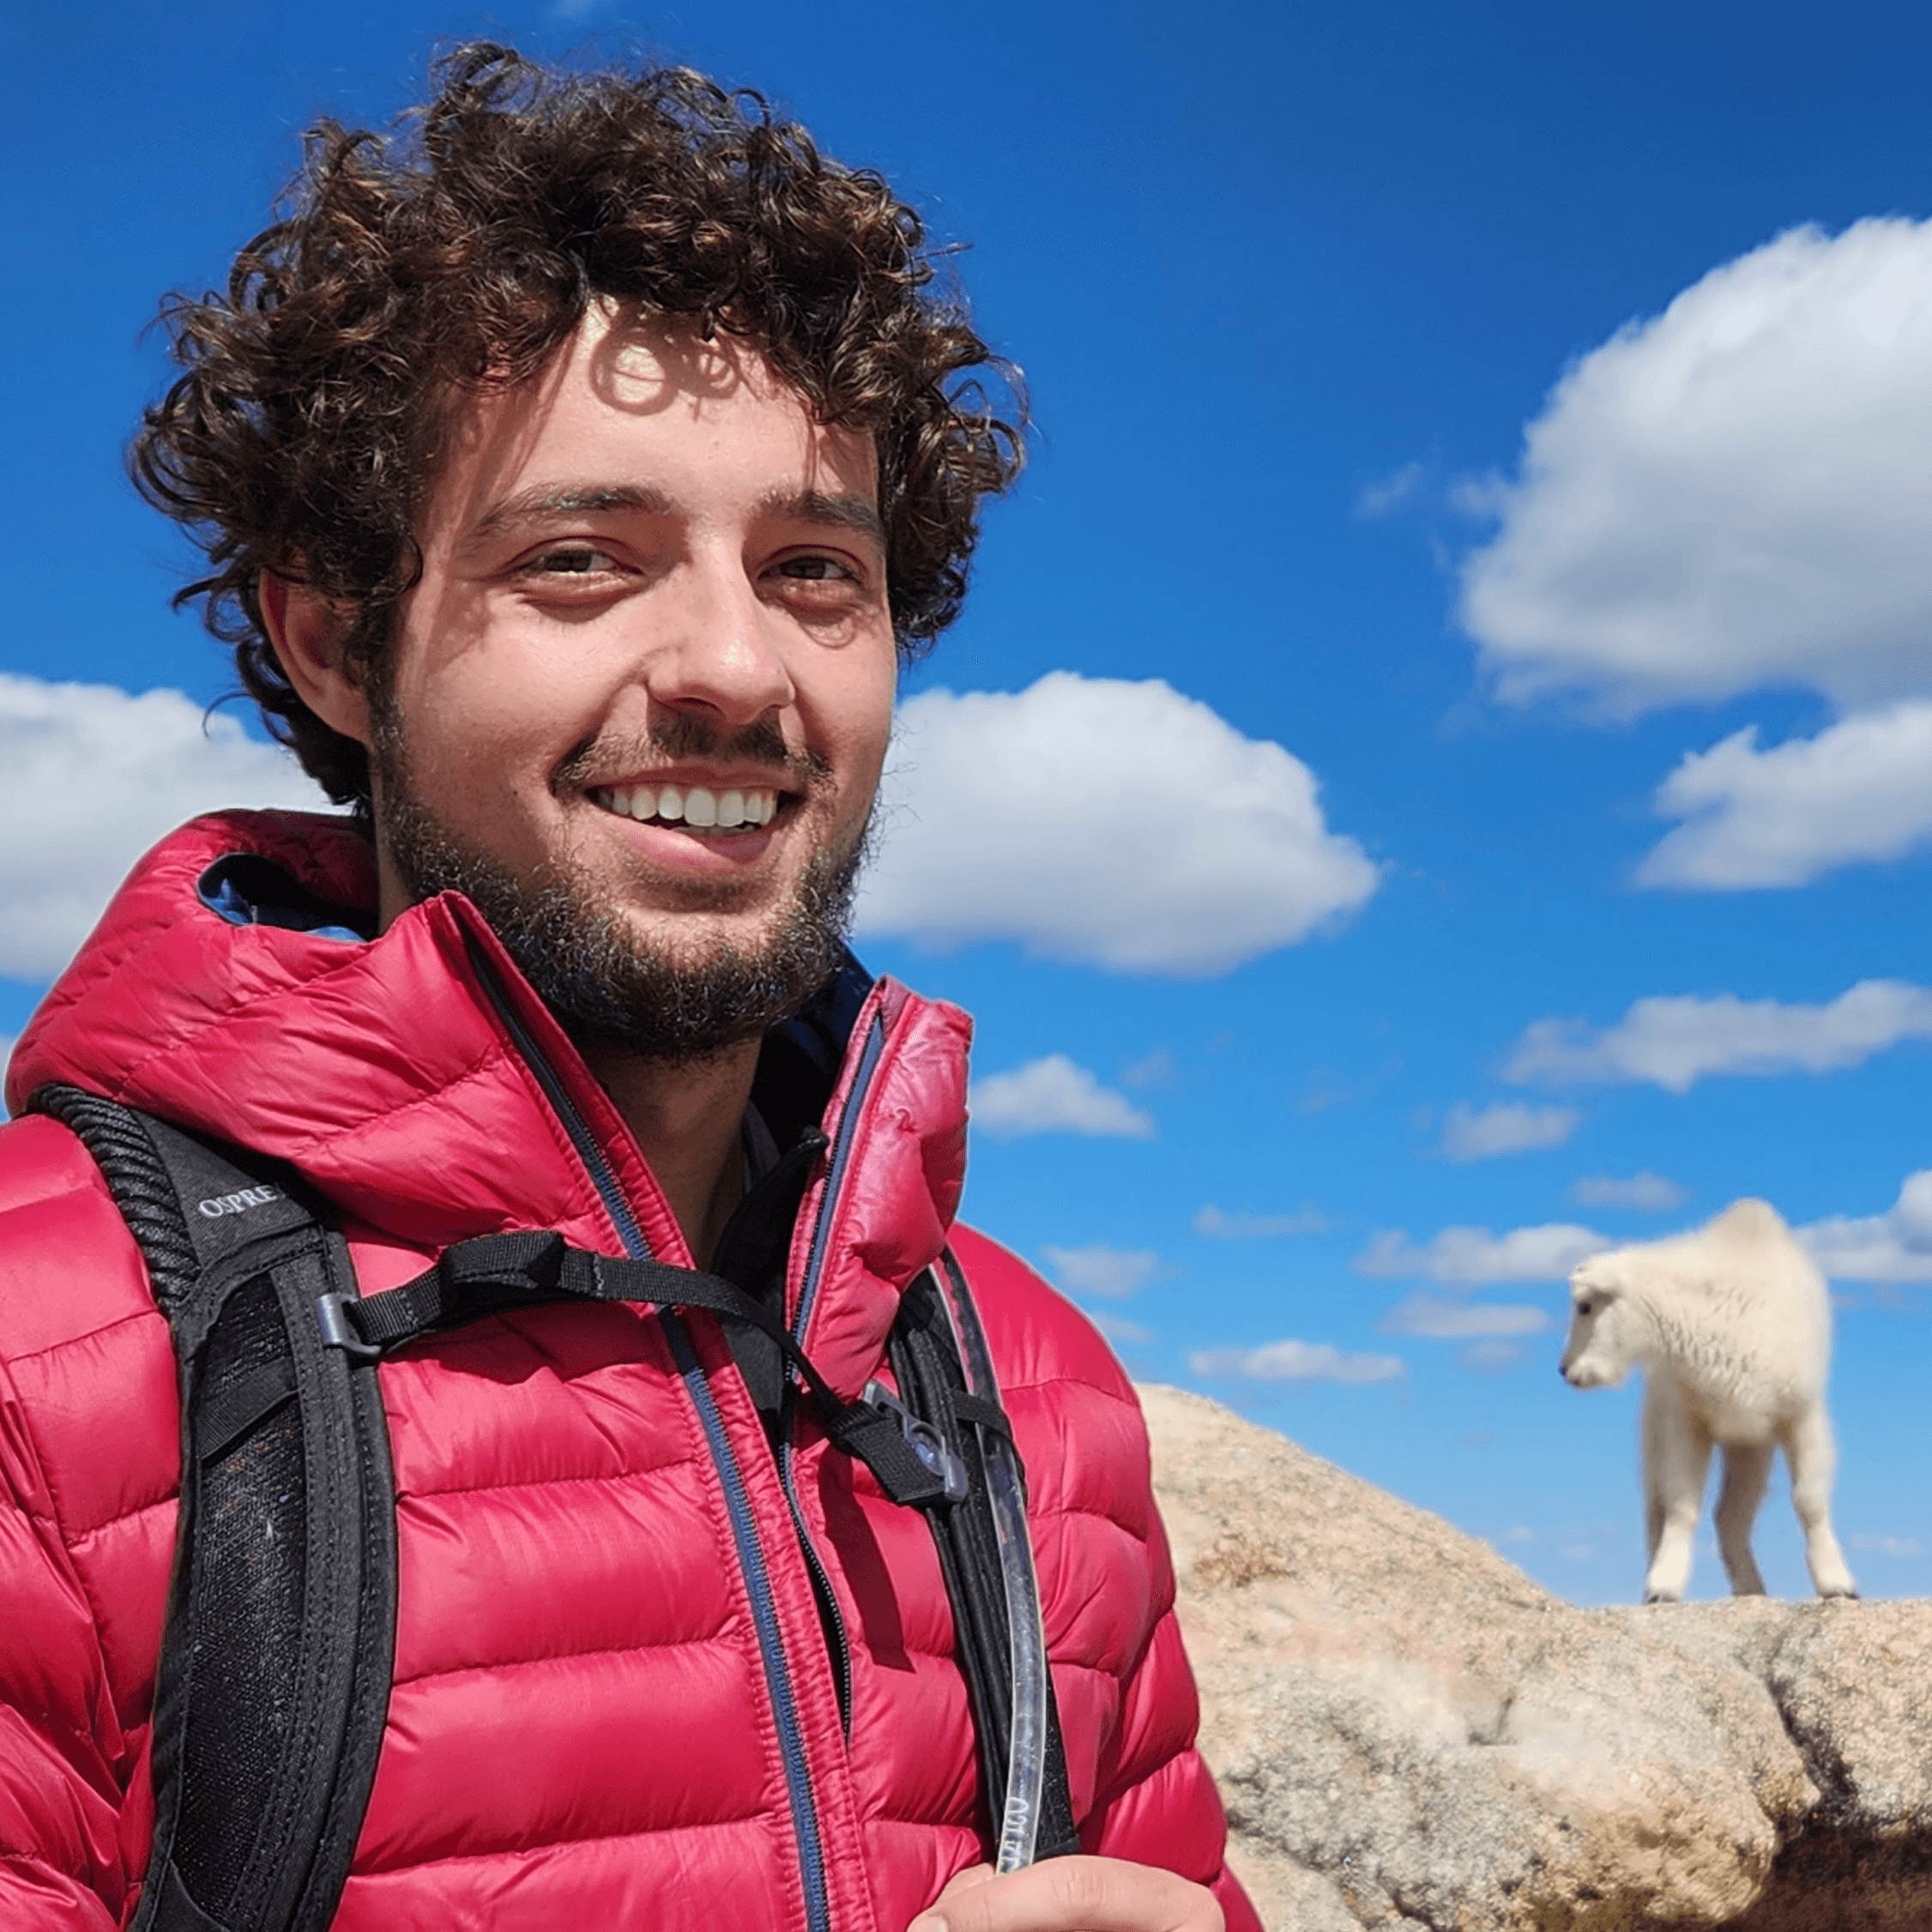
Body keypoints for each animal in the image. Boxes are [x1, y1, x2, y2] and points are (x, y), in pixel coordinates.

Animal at [1553, 1205, 1854, 1599]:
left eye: (1585, 1306)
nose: (1565, 1370)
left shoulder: (1801, 1415)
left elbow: (1810, 1500)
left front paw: (1838, 1584)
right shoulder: (1686, 1419)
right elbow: (1681, 1504)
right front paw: (1663, 1588)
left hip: (1750, 1446)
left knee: (1731, 1516)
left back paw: (1752, 1589)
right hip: (1657, 1433)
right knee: (1658, 1509)